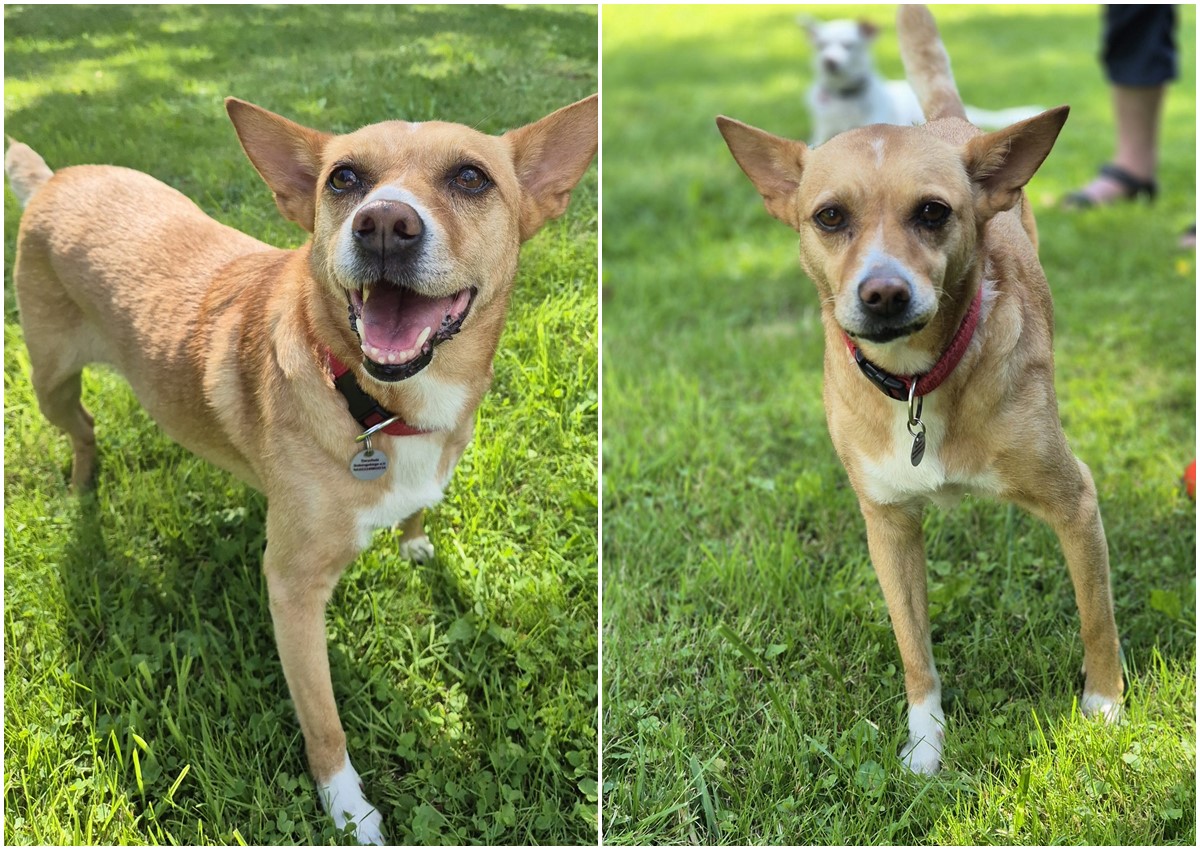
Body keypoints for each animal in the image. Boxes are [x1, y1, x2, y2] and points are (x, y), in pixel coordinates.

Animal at [4, 94, 595, 845]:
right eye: (344, 179)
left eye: (471, 177)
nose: (383, 224)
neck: (376, 404)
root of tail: (55, 179)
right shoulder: (292, 591)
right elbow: (322, 720)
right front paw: (348, 809)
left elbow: (417, 510)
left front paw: (415, 541)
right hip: (50, 383)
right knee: (85, 431)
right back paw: (84, 488)